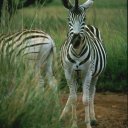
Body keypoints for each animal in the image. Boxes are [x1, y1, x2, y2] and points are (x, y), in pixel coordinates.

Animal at [59, 0, 106, 128]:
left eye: (84, 18)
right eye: (68, 18)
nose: (76, 41)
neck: (77, 52)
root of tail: (88, 26)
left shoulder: (88, 73)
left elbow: (85, 100)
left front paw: (88, 123)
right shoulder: (68, 73)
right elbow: (74, 98)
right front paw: (74, 123)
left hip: (95, 75)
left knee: (91, 93)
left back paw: (93, 118)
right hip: (75, 75)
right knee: (73, 94)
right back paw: (62, 115)